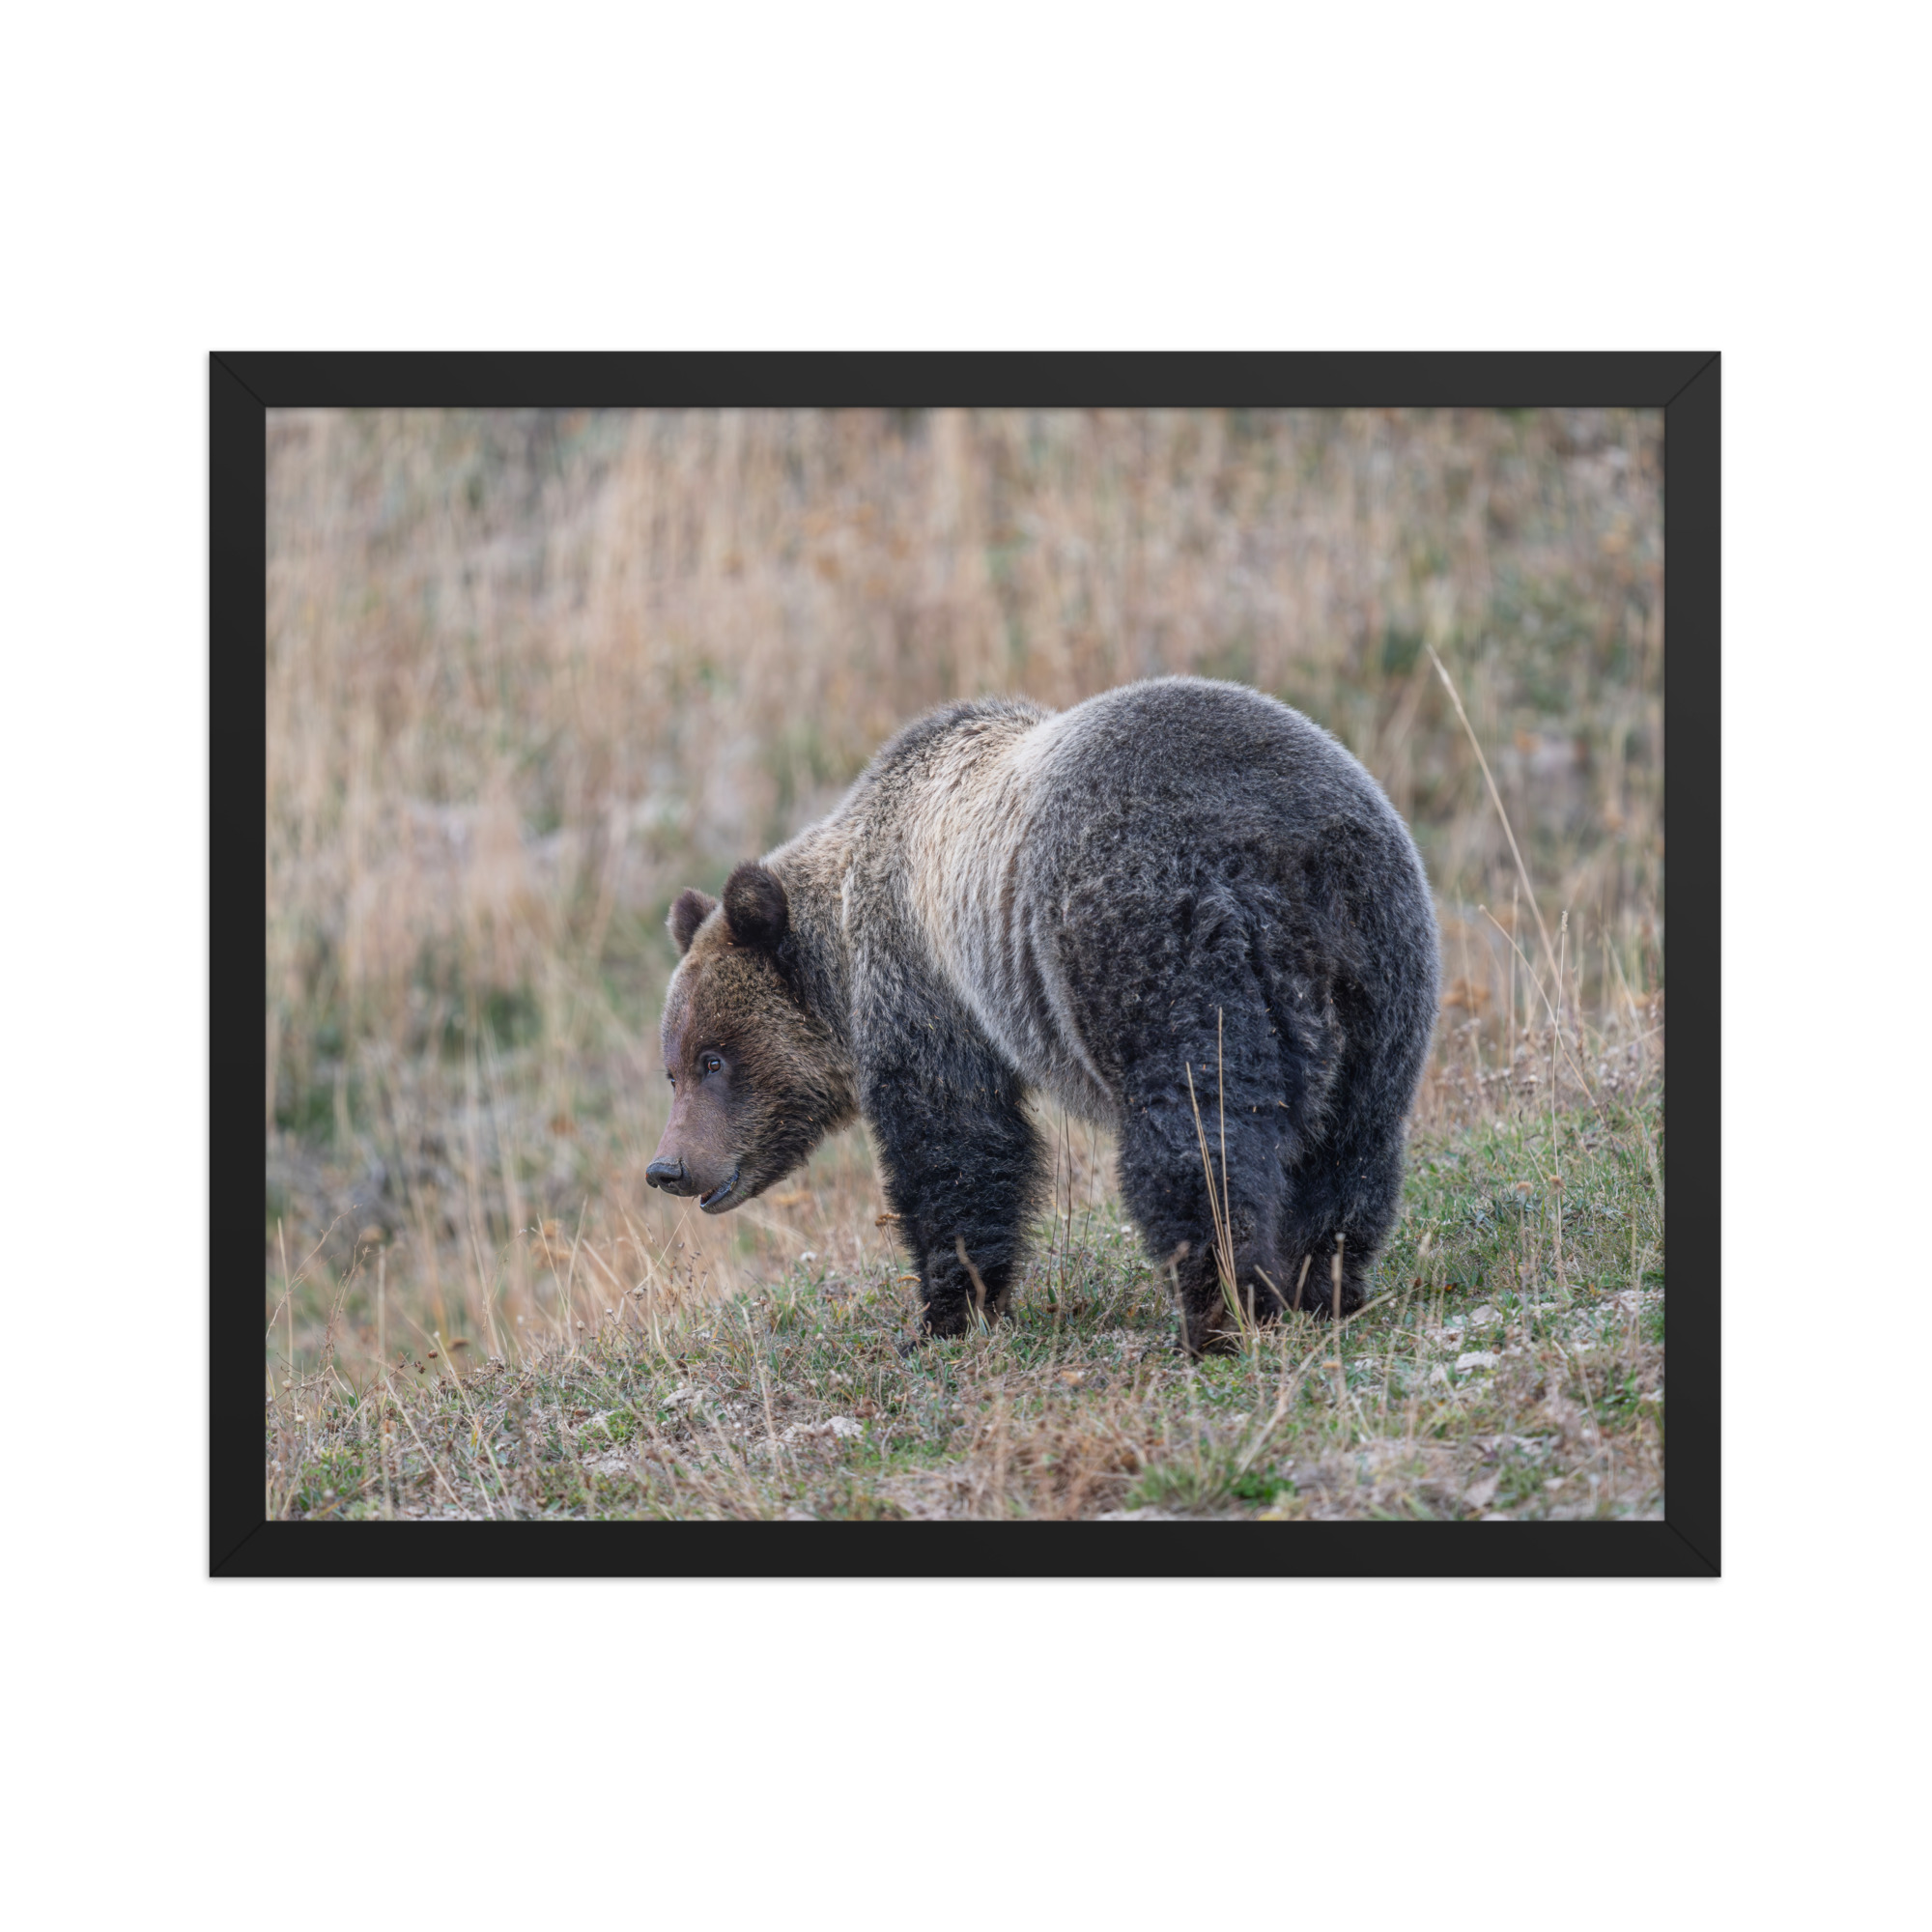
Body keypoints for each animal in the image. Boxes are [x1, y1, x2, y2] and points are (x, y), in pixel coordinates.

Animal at [647, 676, 1439, 1356]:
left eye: (713, 1059)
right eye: (673, 1068)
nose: (668, 1167)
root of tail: (1284, 852)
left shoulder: (927, 985)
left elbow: (956, 1144)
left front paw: (946, 1312)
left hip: (1154, 942)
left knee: (1198, 1136)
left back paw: (1219, 1312)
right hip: (1380, 964)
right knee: (1353, 1141)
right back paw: (1322, 1285)